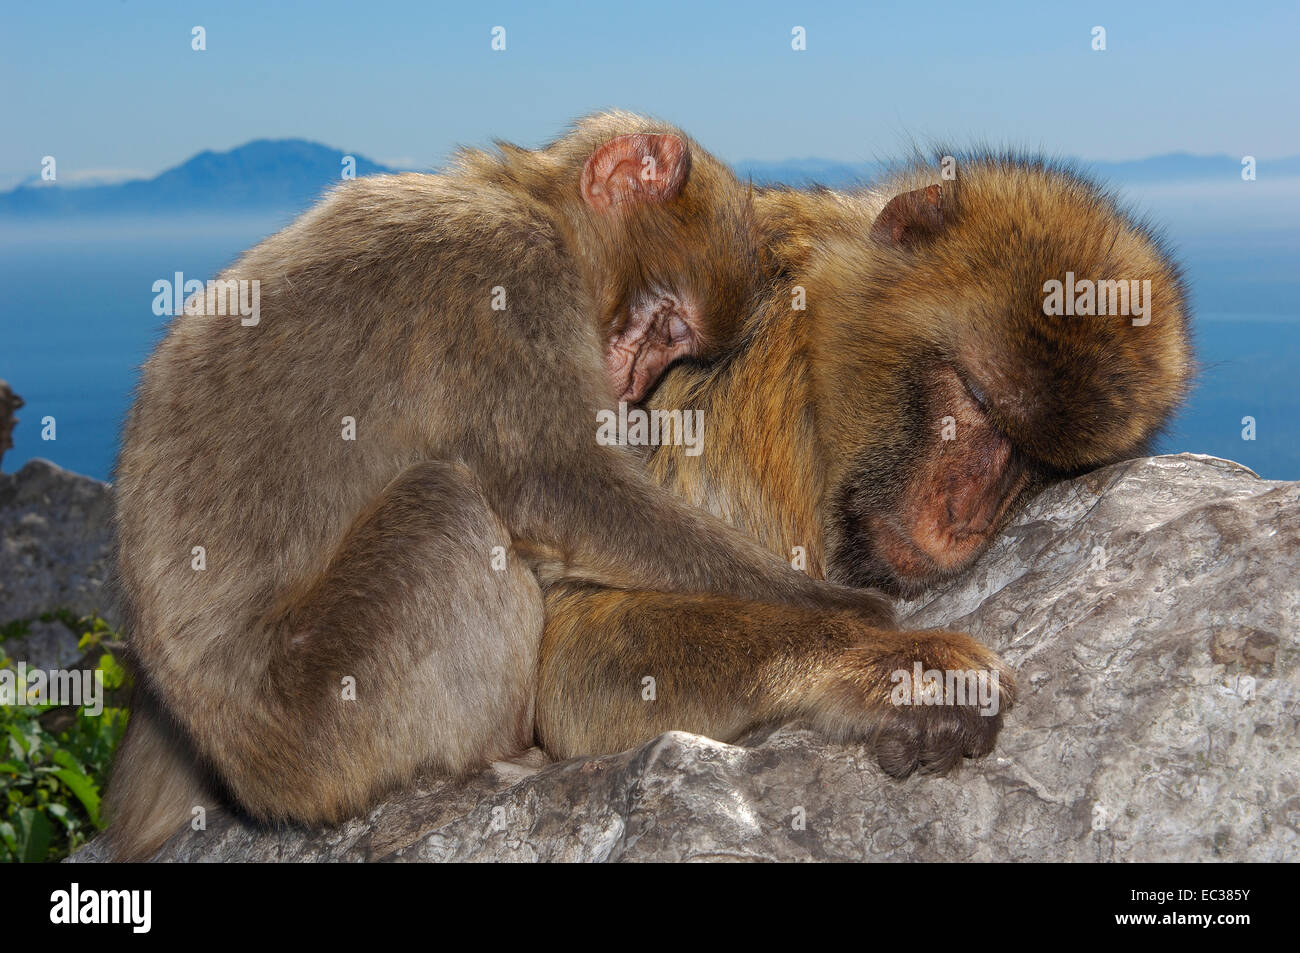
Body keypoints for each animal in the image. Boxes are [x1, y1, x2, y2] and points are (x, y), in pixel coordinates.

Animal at [104, 113, 956, 863]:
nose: (635, 379)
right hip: (326, 723)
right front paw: (843, 609)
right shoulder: (507, 279)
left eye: (674, 346)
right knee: (446, 510)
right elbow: (560, 487)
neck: (524, 199)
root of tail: (240, 770)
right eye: (665, 322)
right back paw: (498, 752)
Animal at [533, 152, 1190, 769]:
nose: (965, 517)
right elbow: (570, 650)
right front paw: (890, 660)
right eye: (977, 398)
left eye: (1044, 466)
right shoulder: (730, 405)